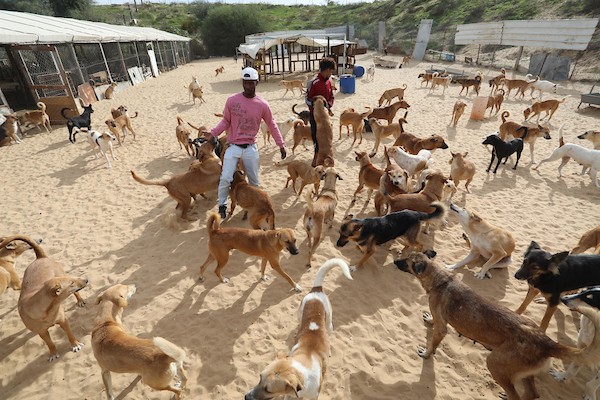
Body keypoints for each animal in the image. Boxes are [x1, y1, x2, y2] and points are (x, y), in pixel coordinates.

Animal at [246, 258, 354, 398]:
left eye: (268, 390)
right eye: (259, 377)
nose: (246, 397)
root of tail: (316, 290)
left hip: (329, 323)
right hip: (299, 314)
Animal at [396, 252, 600, 400]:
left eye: (407, 261)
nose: (394, 260)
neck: (440, 280)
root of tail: (547, 341)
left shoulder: (441, 329)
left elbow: (433, 343)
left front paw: (427, 353)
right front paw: (429, 320)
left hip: (494, 363)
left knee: (516, 396)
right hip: (523, 372)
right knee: (532, 394)